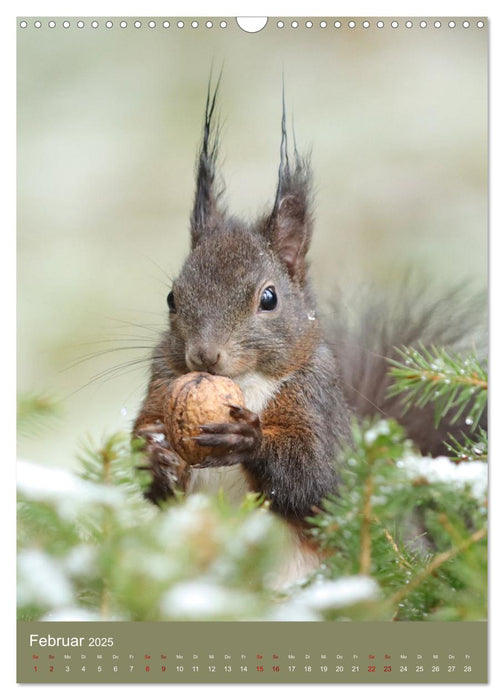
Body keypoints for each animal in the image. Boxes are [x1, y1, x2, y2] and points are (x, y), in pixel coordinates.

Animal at [132, 78, 486, 556]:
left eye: (269, 298)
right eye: (172, 297)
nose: (204, 356)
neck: (246, 384)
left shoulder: (320, 404)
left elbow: (318, 480)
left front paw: (248, 440)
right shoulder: (161, 384)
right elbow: (160, 485)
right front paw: (154, 454)